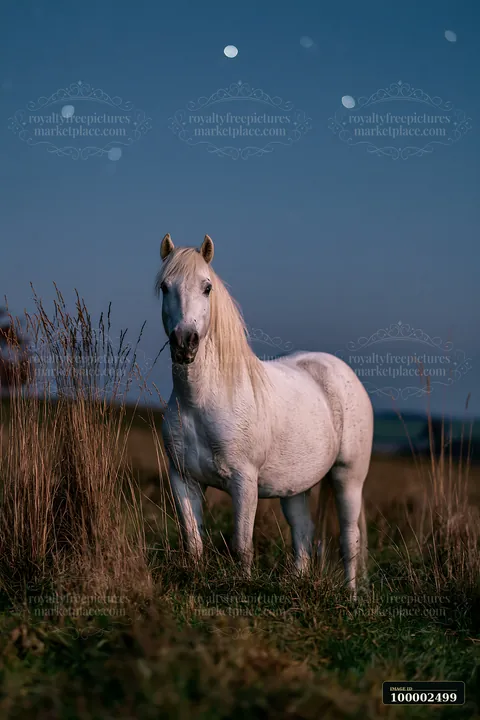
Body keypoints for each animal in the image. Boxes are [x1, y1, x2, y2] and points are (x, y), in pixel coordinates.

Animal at [156, 234, 373, 594]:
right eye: (164, 287)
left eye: (206, 287)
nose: (185, 342)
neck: (201, 402)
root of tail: (344, 373)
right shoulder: (183, 480)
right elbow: (193, 542)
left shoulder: (244, 483)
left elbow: (242, 545)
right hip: (295, 489)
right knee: (303, 532)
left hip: (348, 478)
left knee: (350, 539)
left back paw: (352, 596)